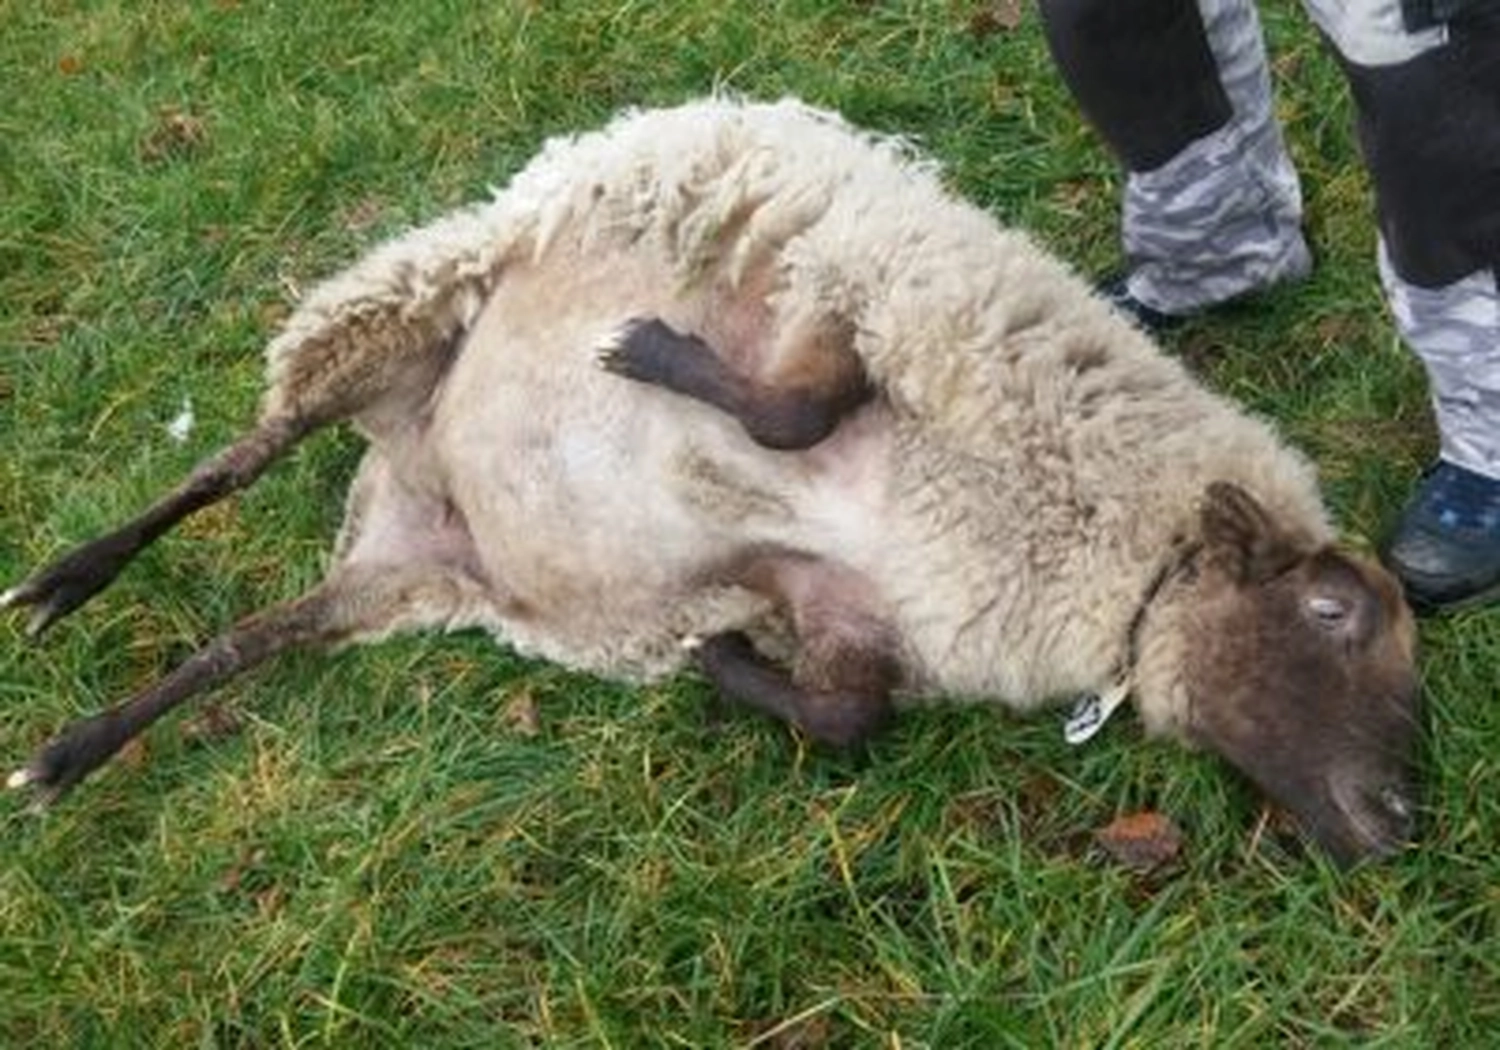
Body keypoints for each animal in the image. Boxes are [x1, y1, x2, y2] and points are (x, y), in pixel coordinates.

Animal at [2, 97, 1419, 865]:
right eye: (1331, 610)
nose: (1404, 819)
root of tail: (410, 472)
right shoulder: (856, 302)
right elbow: (793, 413)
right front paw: (648, 354)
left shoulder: (846, 608)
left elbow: (849, 718)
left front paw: (717, 662)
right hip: (398, 303)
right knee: (234, 460)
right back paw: (62, 586)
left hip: (400, 574)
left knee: (240, 643)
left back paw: (68, 752)